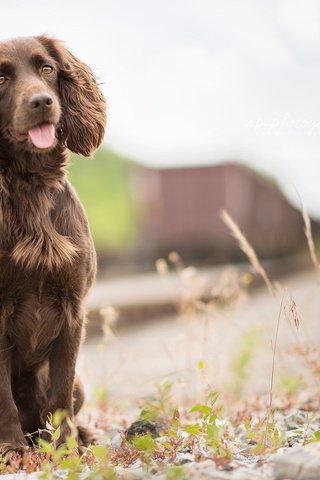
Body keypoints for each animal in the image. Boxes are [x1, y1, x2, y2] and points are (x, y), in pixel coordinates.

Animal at [0, 34, 106, 454]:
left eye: (46, 68)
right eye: (1, 78)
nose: (42, 102)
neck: (30, 185)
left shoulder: (72, 308)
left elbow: (59, 392)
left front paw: (65, 449)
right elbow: (3, 395)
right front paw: (11, 449)